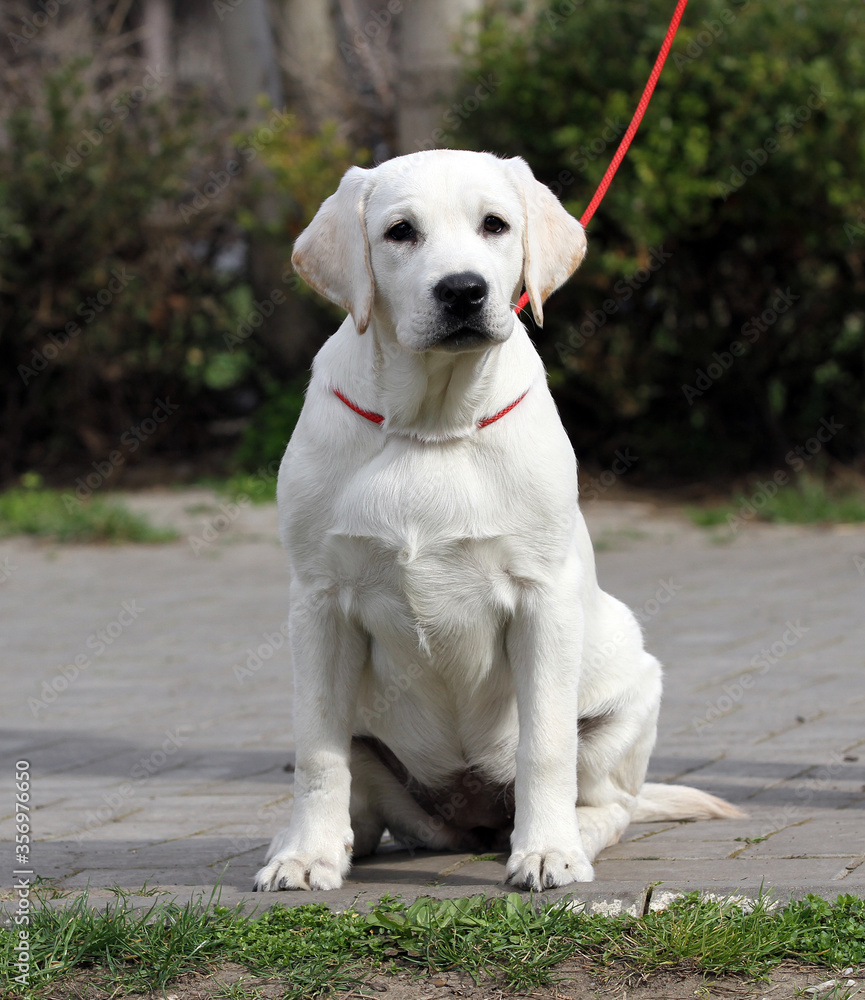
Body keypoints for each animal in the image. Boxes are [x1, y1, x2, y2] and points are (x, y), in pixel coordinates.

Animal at [251, 148, 744, 892]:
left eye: (495, 224)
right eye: (400, 232)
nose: (462, 291)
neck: (433, 424)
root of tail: (469, 818)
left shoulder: (542, 599)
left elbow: (545, 745)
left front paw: (545, 852)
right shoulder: (317, 600)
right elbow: (316, 750)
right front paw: (305, 855)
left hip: (629, 694)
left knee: (608, 803)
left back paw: (568, 836)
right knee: (363, 801)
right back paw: (324, 842)